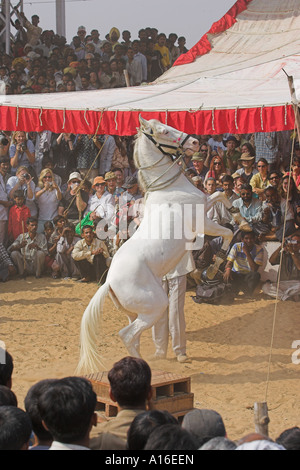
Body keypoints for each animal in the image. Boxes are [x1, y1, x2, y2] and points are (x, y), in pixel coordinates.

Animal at [76, 118, 250, 374]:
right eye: (164, 131)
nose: (195, 142)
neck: (169, 189)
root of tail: (109, 282)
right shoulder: (202, 221)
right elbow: (226, 229)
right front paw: (212, 268)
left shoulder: (207, 206)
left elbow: (222, 197)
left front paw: (241, 218)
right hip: (156, 306)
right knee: (127, 335)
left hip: (135, 313)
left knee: (134, 337)